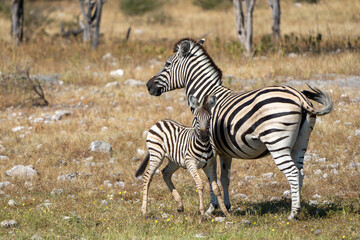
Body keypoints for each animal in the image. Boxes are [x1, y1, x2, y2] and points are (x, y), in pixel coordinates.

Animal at [146, 37, 332, 219]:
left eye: (167, 64)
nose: (148, 85)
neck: (205, 95)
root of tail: (299, 97)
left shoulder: (209, 148)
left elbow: (212, 179)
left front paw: (211, 209)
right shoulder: (225, 152)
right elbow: (224, 179)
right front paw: (226, 206)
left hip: (276, 141)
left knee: (292, 172)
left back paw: (293, 213)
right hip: (301, 142)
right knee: (300, 173)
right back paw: (297, 207)